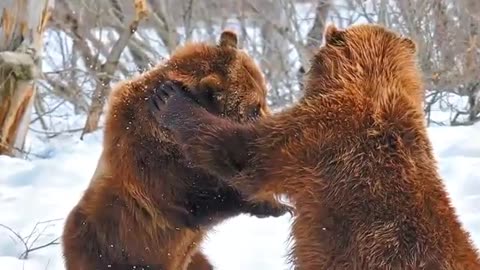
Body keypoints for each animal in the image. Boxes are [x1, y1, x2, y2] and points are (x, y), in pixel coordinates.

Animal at [61, 30, 290, 270]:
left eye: (264, 96)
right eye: (254, 108)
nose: (273, 125)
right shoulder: (159, 173)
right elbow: (206, 199)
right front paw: (273, 205)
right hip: (106, 252)